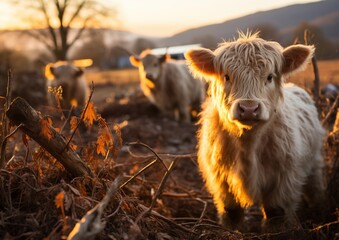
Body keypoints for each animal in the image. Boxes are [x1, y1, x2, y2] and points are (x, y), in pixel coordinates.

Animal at [186, 32, 326, 232]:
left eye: (269, 77)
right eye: (227, 76)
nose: (249, 108)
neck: (247, 143)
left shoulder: (283, 179)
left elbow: (275, 214)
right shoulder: (221, 180)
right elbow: (232, 213)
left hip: (314, 162)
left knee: (315, 189)